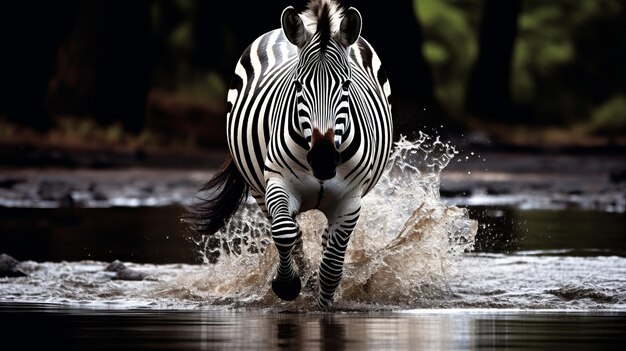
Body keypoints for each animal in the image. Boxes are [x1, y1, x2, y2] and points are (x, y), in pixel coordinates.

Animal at [185, 0, 390, 308]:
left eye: (346, 85)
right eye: (298, 85)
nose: (323, 160)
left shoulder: (350, 200)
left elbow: (332, 266)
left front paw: (324, 303)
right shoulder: (278, 184)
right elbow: (284, 232)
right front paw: (288, 284)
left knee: (324, 242)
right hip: (259, 190)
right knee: (293, 234)